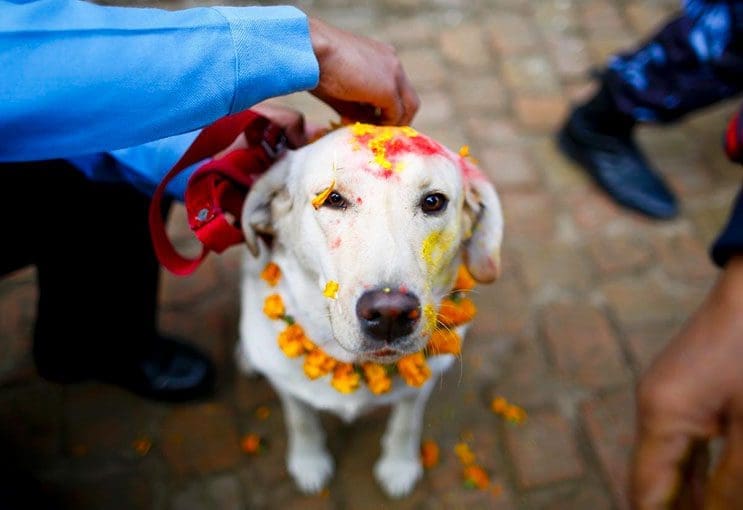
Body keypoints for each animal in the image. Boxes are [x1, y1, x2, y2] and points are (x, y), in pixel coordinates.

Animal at [237, 123, 506, 498]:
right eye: (333, 199)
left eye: (433, 201)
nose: (391, 314)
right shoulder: (288, 387)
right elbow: (301, 420)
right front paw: (308, 461)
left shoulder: (420, 385)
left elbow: (406, 423)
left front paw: (399, 465)